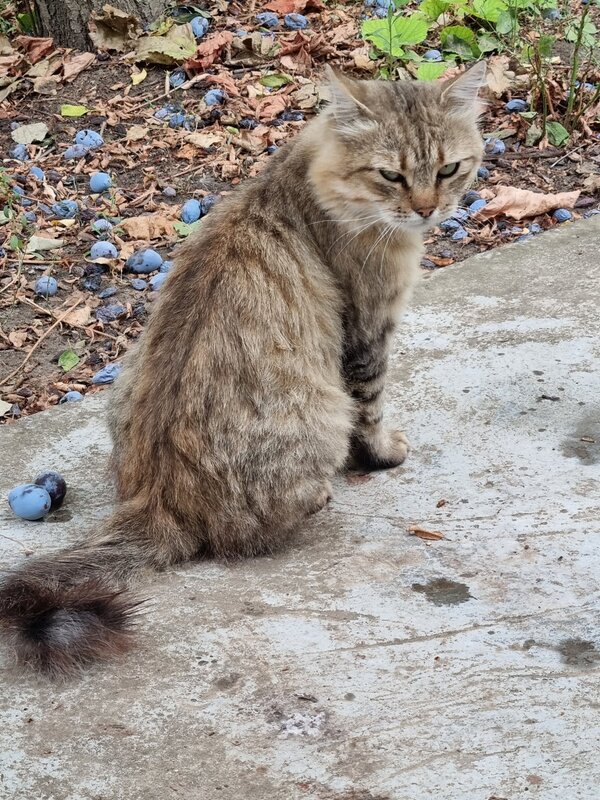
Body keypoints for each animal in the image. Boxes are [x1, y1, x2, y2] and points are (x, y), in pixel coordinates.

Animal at [0, 62, 488, 676]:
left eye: (448, 169)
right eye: (390, 175)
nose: (428, 210)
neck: (304, 178)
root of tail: (157, 500)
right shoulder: (367, 332)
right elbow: (371, 409)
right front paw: (383, 454)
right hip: (318, 417)